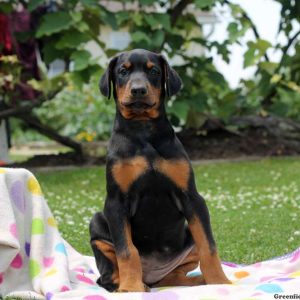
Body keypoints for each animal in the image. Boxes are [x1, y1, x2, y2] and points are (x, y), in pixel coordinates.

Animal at [89, 48, 230, 292]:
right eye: (123, 71)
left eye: (153, 71)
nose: (138, 90)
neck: (143, 129)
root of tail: (152, 276)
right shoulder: (116, 202)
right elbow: (127, 250)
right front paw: (130, 288)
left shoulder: (192, 197)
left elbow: (209, 246)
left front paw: (220, 282)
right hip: (97, 225)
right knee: (105, 275)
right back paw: (128, 285)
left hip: (187, 239)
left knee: (173, 276)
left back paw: (197, 281)